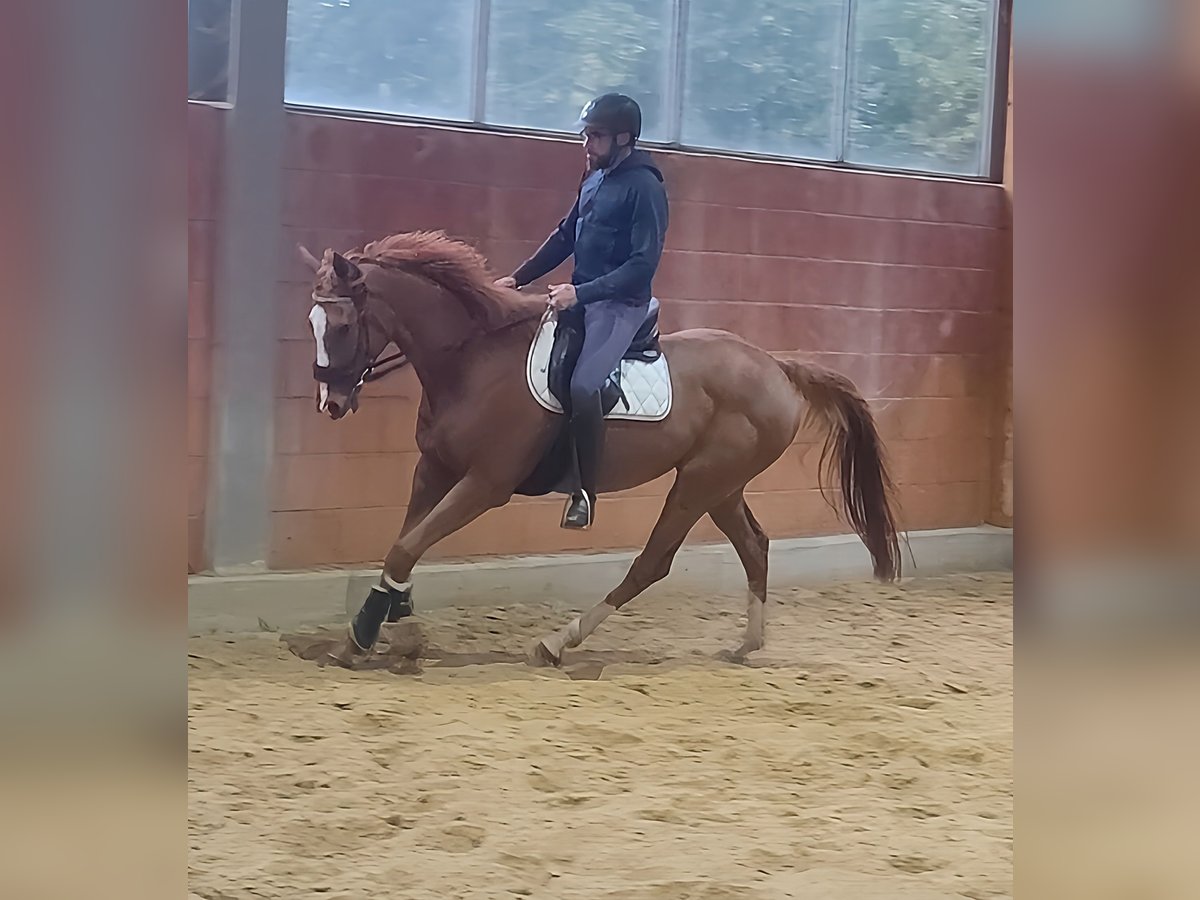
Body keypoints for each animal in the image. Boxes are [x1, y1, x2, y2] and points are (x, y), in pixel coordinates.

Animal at [300, 232, 902, 672]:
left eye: (344, 324)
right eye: (312, 323)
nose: (331, 402)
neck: (473, 360)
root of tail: (776, 366)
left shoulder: (485, 485)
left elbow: (406, 546)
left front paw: (363, 637)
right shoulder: (435, 468)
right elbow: (403, 543)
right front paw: (395, 620)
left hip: (700, 482)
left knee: (653, 563)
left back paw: (557, 642)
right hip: (722, 486)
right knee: (755, 546)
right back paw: (745, 646)